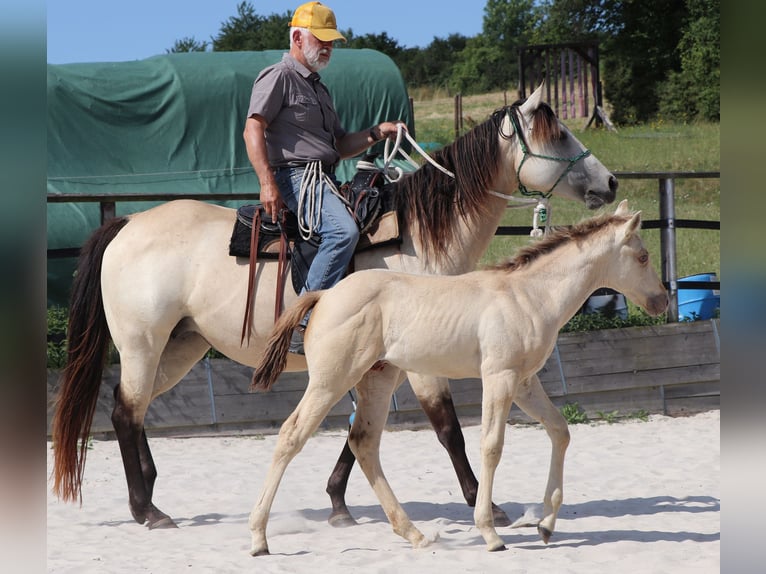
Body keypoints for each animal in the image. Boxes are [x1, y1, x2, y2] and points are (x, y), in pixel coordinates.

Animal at [51, 84, 618, 531]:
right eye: (558, 135)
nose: (610, 182)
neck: (416, 238)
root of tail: (128, 222)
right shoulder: (422, 365)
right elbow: (448, 429)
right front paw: (486, 504)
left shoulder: (377, 362)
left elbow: (356, 429)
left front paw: (338, 503)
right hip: (142, 343)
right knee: (126, 411)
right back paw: (146, 509)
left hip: (180, 346)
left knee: (133, 408)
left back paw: (150, 492)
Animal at [249, 200, 668, 555]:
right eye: (643, 256)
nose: (663, 300)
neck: (529, 295)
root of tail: (324, 295)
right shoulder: (499, 377)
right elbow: (492, 446)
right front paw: (490, 532)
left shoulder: (524, 381)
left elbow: (559, 431)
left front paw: (546, 525)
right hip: (331, 380)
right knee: (291, 435)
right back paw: (259, 537)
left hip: (377, 380)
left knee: (363, 443)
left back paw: (414, 534)